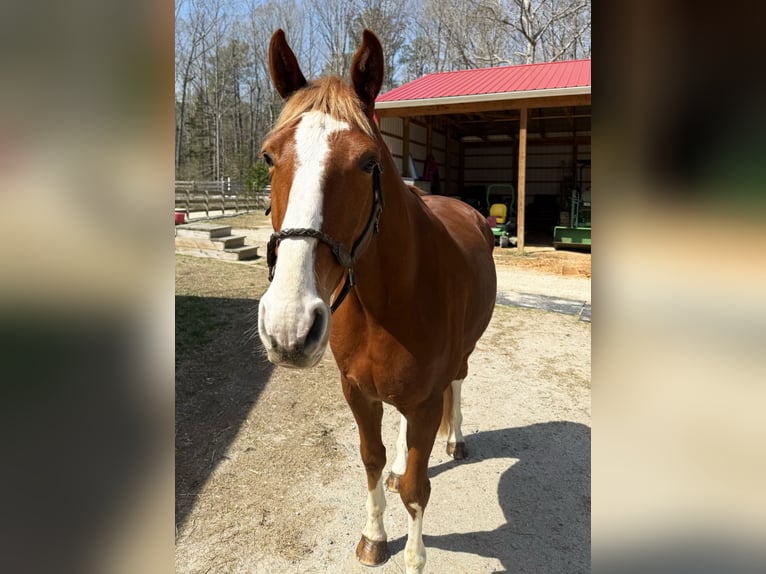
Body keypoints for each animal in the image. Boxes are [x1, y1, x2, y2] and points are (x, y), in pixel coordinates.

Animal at [257, 29, 497, 574]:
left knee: (458, 384)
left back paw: (457, 440)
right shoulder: (358, 394)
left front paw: (414, 557)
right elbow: (372, 460)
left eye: (368, 162)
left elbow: (416, 488)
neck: (388, 303)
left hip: (461, 360)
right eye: (268, 157)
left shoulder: (426, 402)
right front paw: (373, 535)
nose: (288, 326)